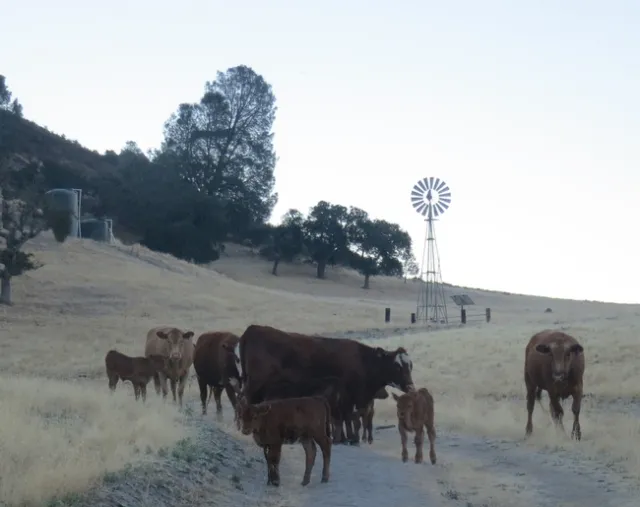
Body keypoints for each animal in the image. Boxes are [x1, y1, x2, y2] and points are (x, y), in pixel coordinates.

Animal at [237, 324, 415, 445]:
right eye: (397, 366)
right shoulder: (348, 396)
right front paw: (350, 439)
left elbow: (347, 419)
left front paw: (346, 438)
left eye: (410, 365)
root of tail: (252, 329)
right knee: (246, 402)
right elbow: (349, 419)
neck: (363, 362)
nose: (410, 387)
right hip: (255, 385)